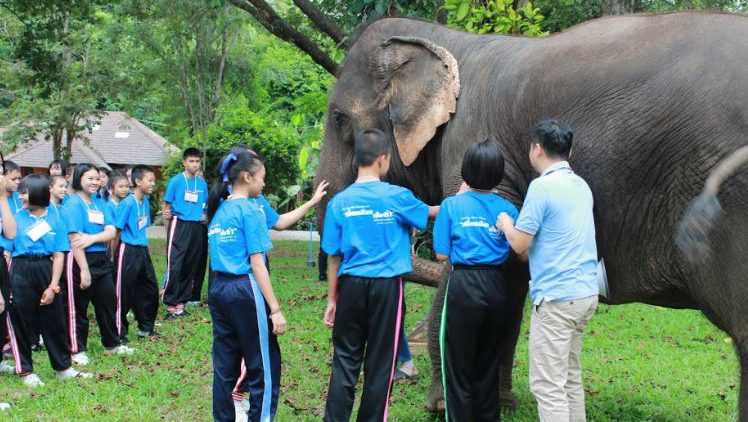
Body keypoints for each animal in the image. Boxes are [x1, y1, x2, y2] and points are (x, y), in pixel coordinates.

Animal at [314, 11, 748, 420]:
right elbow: (508, 277)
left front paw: (439, 407)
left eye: (338, 118)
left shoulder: (473, 142)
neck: (450, 42)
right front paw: (502, 405)